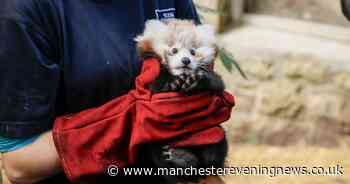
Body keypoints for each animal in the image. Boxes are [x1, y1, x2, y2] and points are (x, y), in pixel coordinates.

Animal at [134, 19, 227, 183]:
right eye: (174, 50)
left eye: (193, 52)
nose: (186, 60)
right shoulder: (150, 79)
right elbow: (156, 88)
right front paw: (172, 83)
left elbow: (217, 84)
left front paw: (198, 80)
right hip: (157, 141)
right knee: (161, 157)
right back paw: (180, 158)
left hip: (212, 132)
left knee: (216, 146)